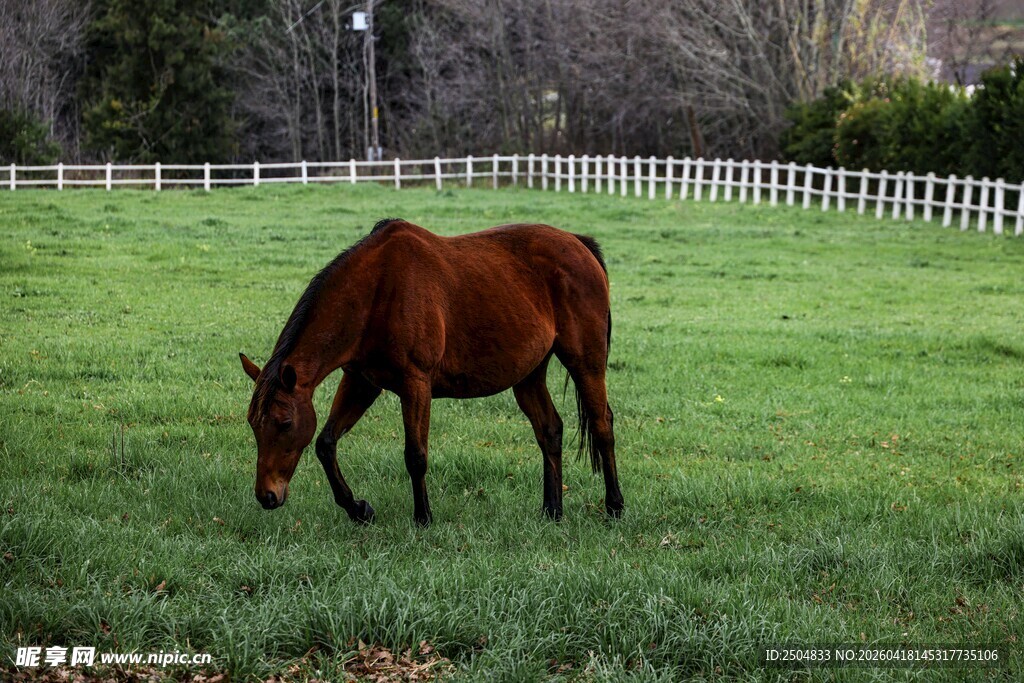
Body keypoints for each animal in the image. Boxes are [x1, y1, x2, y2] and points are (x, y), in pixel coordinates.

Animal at [239, 218, 623, 526]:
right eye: (254, 424)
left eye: (284, 423)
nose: (266, 496)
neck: (377, 291)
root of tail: (579, 243)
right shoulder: (361, 381)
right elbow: (325, 443)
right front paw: (358, 509)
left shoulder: (416, 384)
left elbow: (416, 455)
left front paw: (423, 517)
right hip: (528, 376)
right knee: (550, 430)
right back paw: (552, 511)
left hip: (586, 363)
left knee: (602, 424)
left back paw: (614, 506)